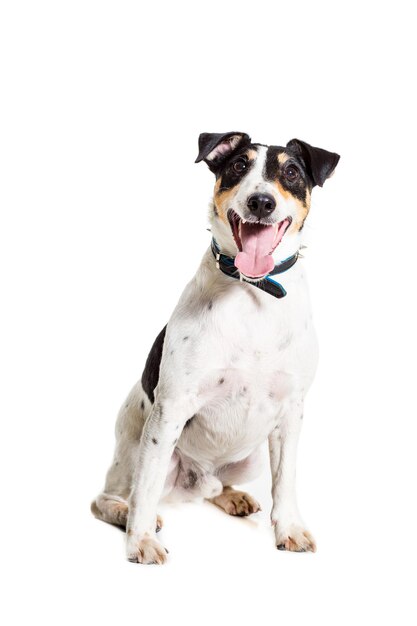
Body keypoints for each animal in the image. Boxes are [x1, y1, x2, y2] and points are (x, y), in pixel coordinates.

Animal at [90, 130, 338, 560]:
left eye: (291, 172)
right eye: (238, 165)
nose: (261, 201)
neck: (254, 291)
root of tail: (197, 480)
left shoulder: (291, 412)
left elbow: (285, 480)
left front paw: (289, 528)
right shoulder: (171, 408)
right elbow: (145, 491)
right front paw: (141, 540)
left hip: (252, 458)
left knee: (215, 487)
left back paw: (232, 495)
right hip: (139, 449)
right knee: (119, 495)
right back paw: (127, 514)